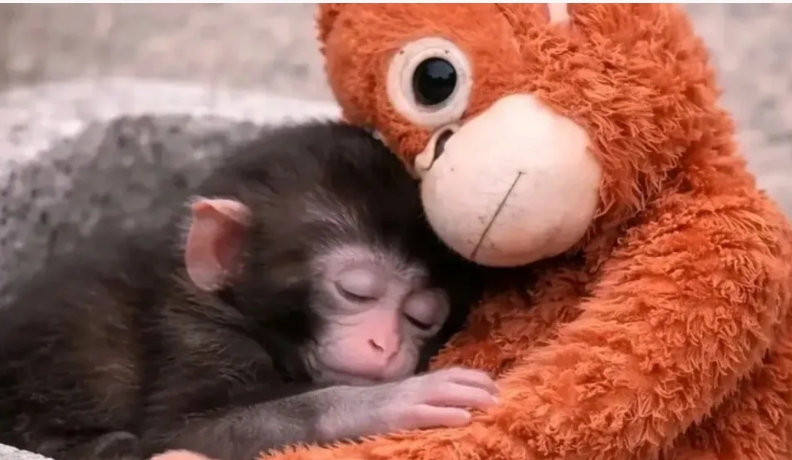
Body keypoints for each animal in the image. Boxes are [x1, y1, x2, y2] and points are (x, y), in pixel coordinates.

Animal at [0, 121, 496, 460]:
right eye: (355, 293)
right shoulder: (195, 335)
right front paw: (394, 401)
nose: (385, 344)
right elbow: (187, 433)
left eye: (420, 317)